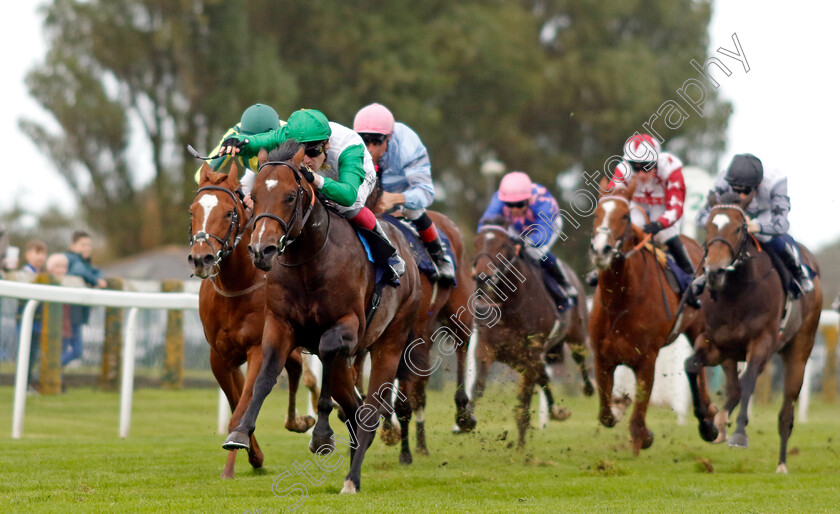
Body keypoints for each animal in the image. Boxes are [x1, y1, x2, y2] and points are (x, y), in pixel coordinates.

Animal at [189, 163, 316, 476]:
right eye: (192, 211)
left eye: (229, 213)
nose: (201, 259)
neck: (237, 286)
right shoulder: (220, 356)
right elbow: (237, 402)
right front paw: (253, 453)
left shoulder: (258, 349)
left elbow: (240, 408)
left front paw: (231, 465)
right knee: (297, 368)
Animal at [221, 141, 420, 492]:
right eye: (253, 196)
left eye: (290, 196)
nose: (261, 250)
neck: (309, 262)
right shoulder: (279, 324)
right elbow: (265, 376)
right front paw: (240, 432)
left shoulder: (347, 327)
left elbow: (326, 352)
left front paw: (322, 436)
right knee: (354, 409)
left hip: (390, 343)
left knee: (369, 411)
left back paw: (352, 479)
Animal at [592, 176, 708, 452]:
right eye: (596, 213)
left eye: (624, 216)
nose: (601, 250)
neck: (620, 303)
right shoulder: (601, 357)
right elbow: (606, 414)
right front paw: (618, 404)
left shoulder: (647, 359)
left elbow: (637, 420)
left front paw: (645, 436)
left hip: (698, 326)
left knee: (699, 368)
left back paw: (709, 422)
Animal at [688, 193, 820, 472]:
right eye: (709, 225)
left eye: (739, 228)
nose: (714, 271)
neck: (736, 294)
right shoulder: (715, 344)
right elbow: (692, 366)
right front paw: (707, 426)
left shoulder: (761, 342)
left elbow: (748, 381)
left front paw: (739, 435)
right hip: (731, 356)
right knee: (734, 387)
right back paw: (719, 423)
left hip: (799, 351)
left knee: (786, 412)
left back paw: (782, 463)